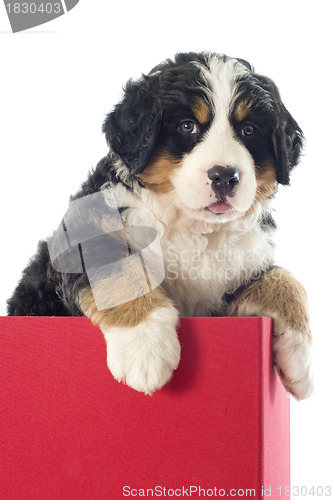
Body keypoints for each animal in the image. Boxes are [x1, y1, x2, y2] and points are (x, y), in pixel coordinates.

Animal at [6, 52, 312, 398]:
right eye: (187, 126)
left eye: (248, 130)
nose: (224, 176)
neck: (193, 227)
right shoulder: (80, 237)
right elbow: (122, 267)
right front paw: (145, 348)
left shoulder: (244, 265)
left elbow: (284, 278)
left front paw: (300, 357)